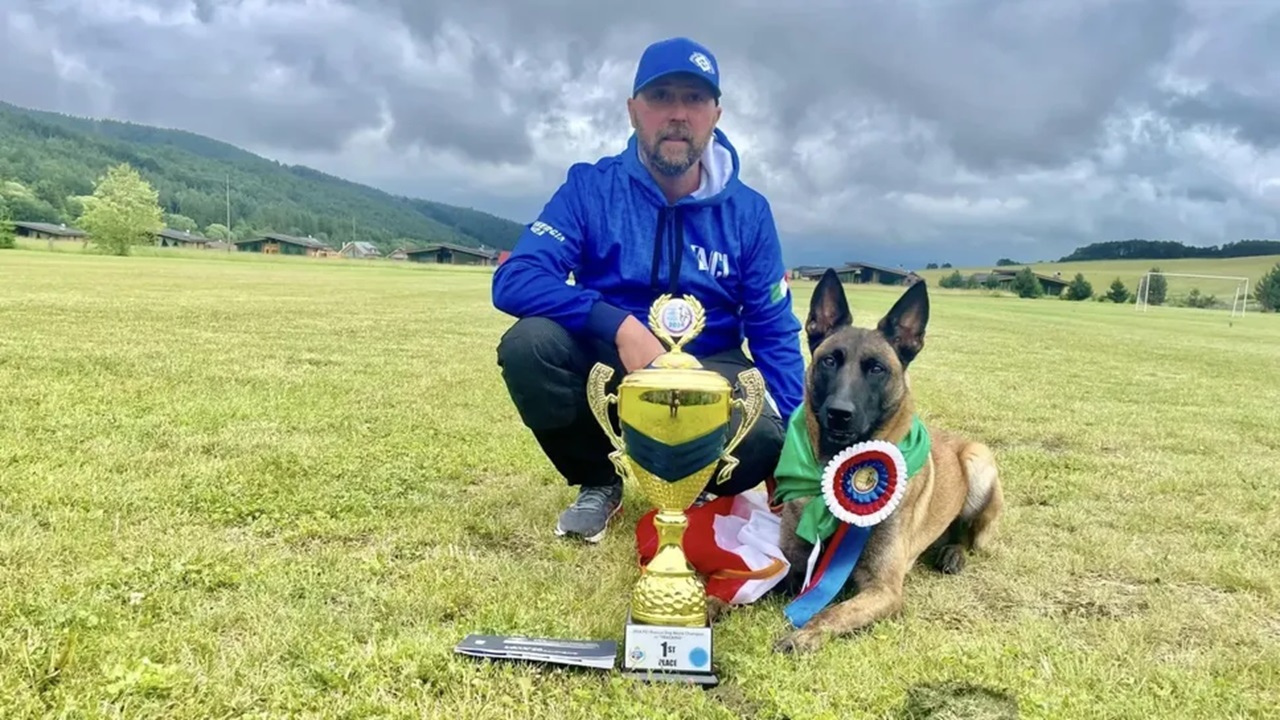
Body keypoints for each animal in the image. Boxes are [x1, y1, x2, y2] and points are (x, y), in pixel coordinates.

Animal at [762, 267, 1003, 650]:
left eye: (876, 369)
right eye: (830, 360)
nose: (839, 414)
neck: (835, 468)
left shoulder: (883, 590)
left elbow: (832, 614)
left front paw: (803, 636)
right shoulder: (794, 564)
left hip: (978, 462)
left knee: (970, 537)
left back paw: (954, 553)